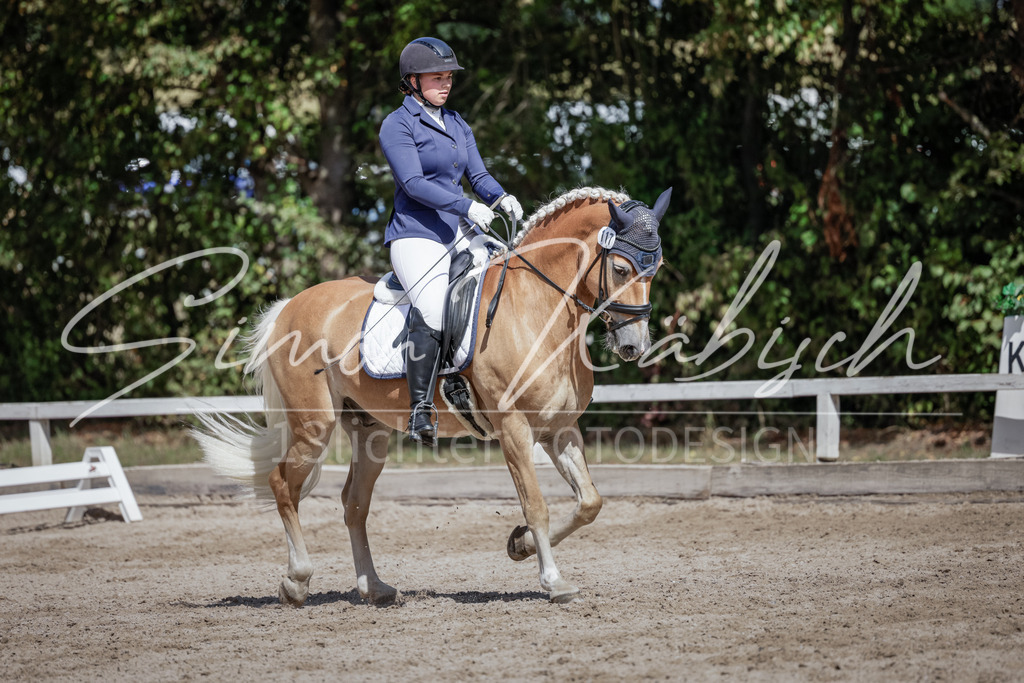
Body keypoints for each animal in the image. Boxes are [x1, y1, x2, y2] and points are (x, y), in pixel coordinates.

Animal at [194, 185, 672, 605]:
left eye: (656, 269)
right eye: (622, 269)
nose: (633, 346)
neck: (536, 306)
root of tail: (287, 307)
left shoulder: (560, 428)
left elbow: (589, 502)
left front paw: (519, 545)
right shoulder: (514, 429)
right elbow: (536, 505)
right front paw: (554, 581)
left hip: (370, 432)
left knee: (354, 504)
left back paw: (375, 588)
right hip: (313, 425)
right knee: (283, 485)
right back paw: (296, 581)